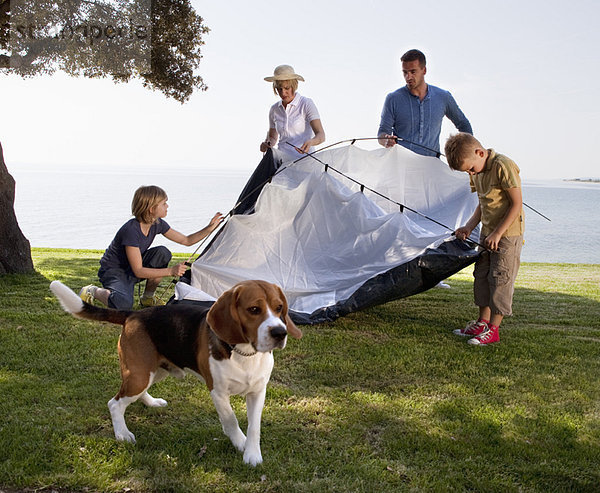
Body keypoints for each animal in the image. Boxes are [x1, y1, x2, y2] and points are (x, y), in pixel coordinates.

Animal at [48, 280, 300, 466]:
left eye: (279, 308)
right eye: (254, 310)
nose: (280, 333)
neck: (244, 352)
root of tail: (133, 314)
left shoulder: (258, 391)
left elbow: (254, 426)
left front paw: (252, 453)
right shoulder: (217, 392)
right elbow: (230, 420)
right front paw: (240, 443)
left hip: (154, 371)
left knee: (134, 393)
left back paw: (151, 403)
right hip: (139, 374)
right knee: (115, 403)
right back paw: (122, 434)